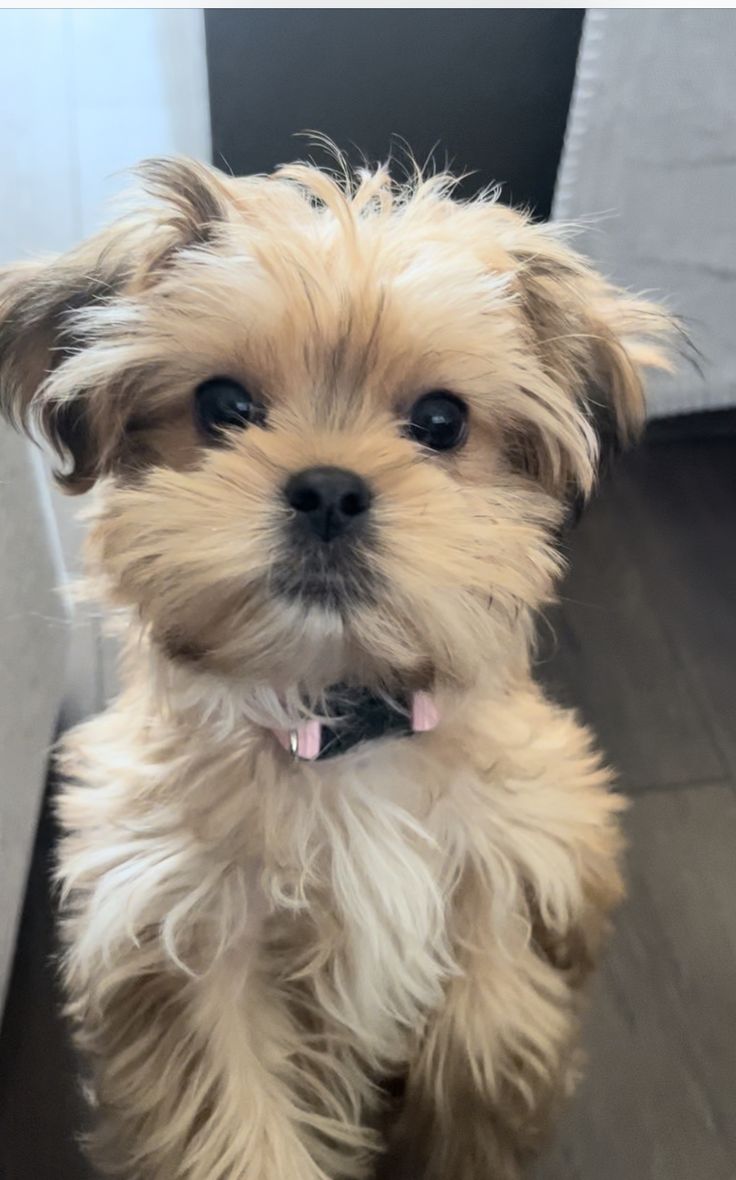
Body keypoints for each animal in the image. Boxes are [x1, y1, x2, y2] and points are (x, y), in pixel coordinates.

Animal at [0, 159, 674, 1180]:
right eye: (224, 406)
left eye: (440, 421)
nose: (327, 489)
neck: (343, 717)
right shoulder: (185, 938)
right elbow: (238, 1125)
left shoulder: (531, 844)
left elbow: (490, 1023)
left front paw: (475, 1118)